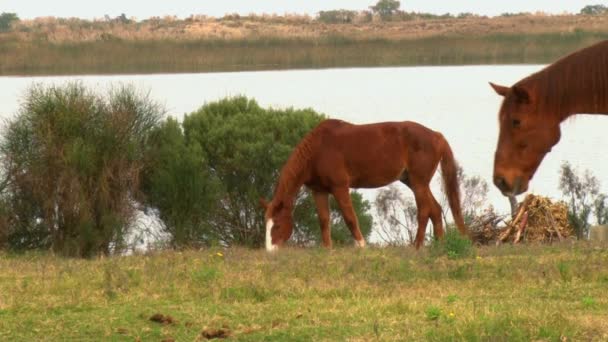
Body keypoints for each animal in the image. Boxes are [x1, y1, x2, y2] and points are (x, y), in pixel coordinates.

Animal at [258, 118, 468, 251]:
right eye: (266, 224)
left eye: (277, 225)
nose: (270, 251)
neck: (318, 150)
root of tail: (437, 136)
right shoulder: (319, 191)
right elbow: (324, 221)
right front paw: (327, 250)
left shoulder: (340, 187)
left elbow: (350, 218)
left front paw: (362, 246)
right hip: (413, 181)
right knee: (435, 209)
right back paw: (439, 245)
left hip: (418, 183)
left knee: (424, 210)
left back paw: (416, 246)